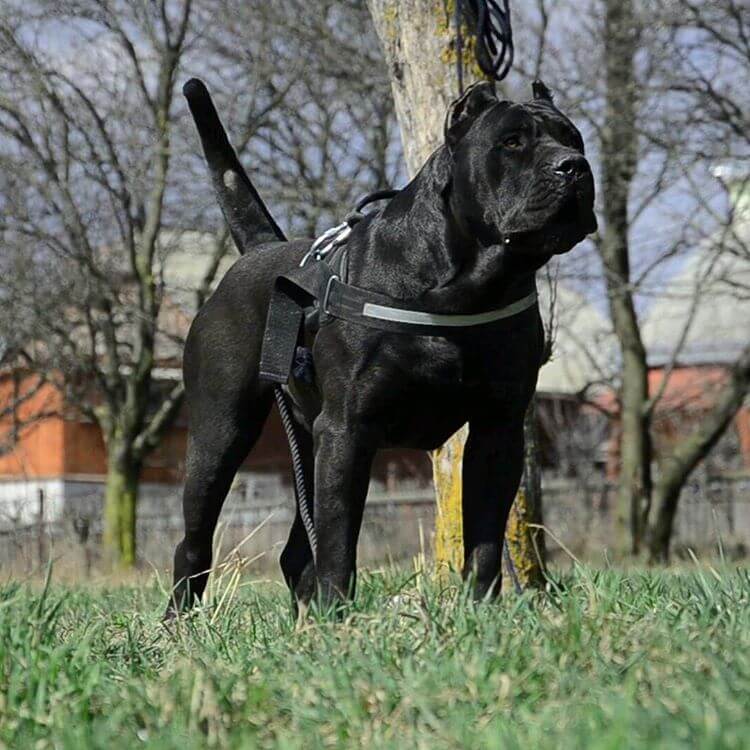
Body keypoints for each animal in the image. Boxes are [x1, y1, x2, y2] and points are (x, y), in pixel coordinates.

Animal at [167, 78, 596, 616]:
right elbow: (338, 542)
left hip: (305, 437)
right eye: (512, 142)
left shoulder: (497, 431)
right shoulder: (347, 430)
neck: (469, 284)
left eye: (574, 139)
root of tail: (261, 251)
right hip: (221, 432)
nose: (573, 166)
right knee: (195, 541)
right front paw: (339, 612)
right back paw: (181, 622)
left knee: (296, 552)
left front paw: (481, 611)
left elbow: (484, 539)